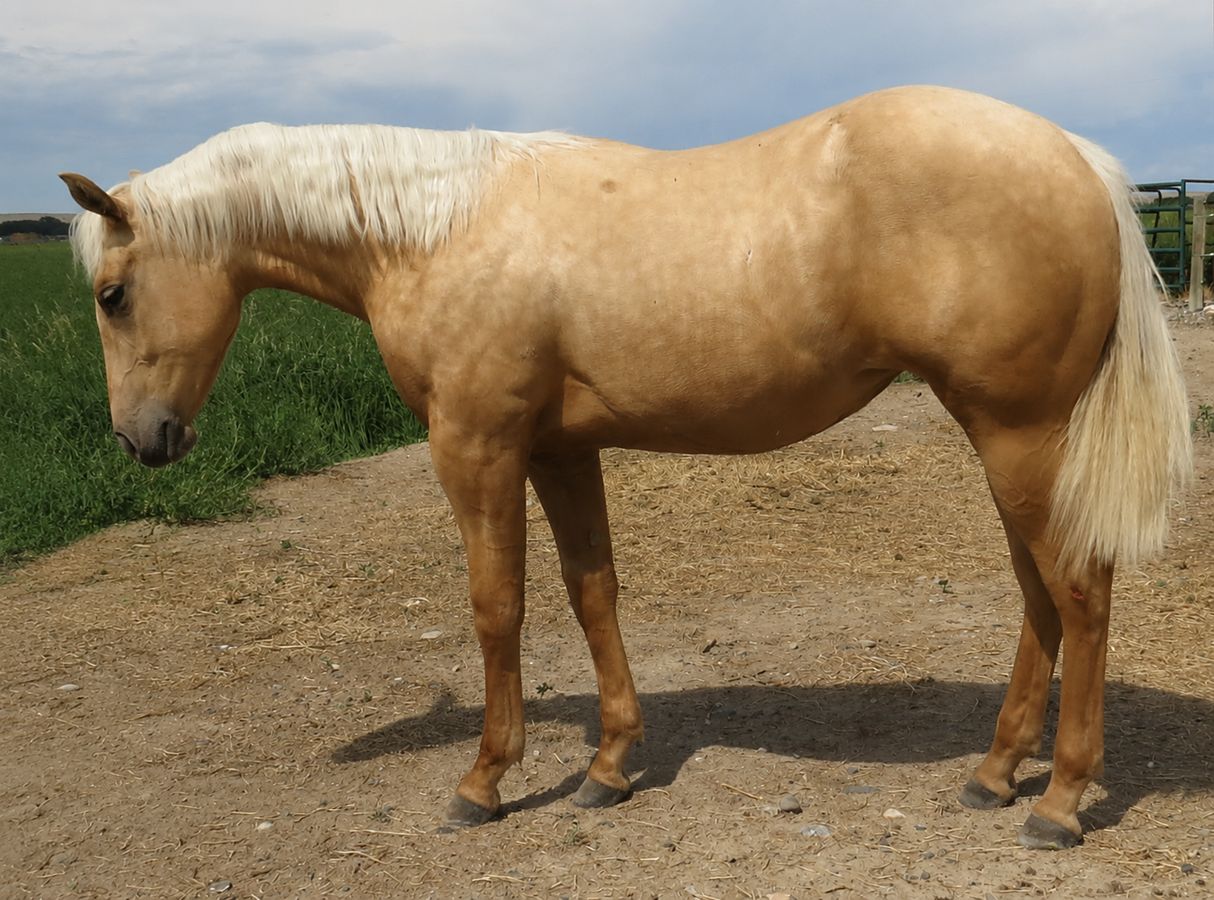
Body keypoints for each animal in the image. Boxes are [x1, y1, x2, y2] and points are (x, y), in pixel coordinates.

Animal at [61, 85, 1191, 850]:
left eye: (114, 294)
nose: (141, 439)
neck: (435, 231)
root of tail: (1075, 158)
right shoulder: (562, 451)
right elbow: (590, 592)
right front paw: (608, 765)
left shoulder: (476, 446)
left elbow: (497, 606)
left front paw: (485, 780)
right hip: (1003, 441)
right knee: (1039, 597)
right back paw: (995, 772)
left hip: (1019, 434)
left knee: (1078, 593)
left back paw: (1057, 801)